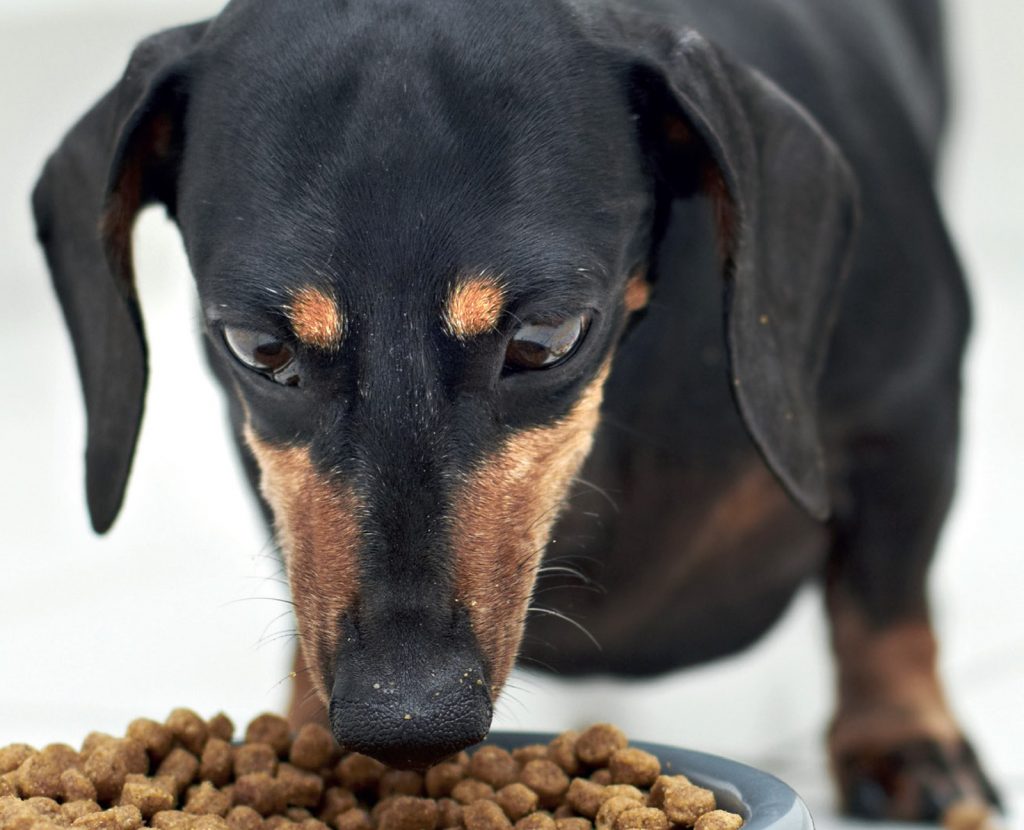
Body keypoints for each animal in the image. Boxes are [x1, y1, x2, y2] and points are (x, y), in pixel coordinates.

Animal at [34, 0, 999, 822]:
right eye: (258, 347)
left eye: (547, 335)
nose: (405, 719)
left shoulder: (909, 413)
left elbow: (885, 594)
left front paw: (902, 739)